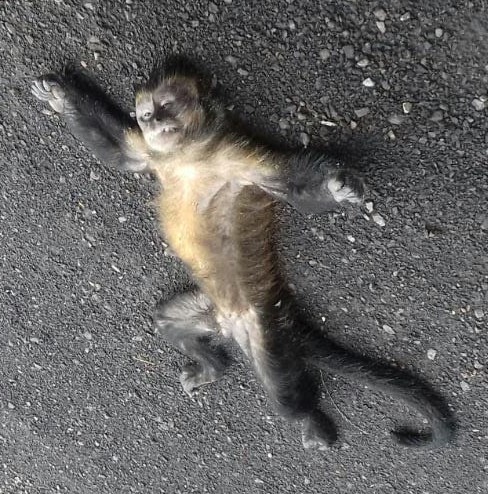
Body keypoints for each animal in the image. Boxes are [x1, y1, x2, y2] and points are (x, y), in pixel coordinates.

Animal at [32, 56, 456, 450]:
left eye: (167, 105)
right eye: (146, 114)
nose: (154, 122)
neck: (189, 155)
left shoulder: (237, 158)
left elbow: (291, 188)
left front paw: (339, 188)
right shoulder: (153, 155)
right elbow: (122, 155)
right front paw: (60, 95)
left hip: (263, 328)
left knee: (284, 392)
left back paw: (314, 423)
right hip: (210, 312)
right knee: (168, 321)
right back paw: (210, 367)